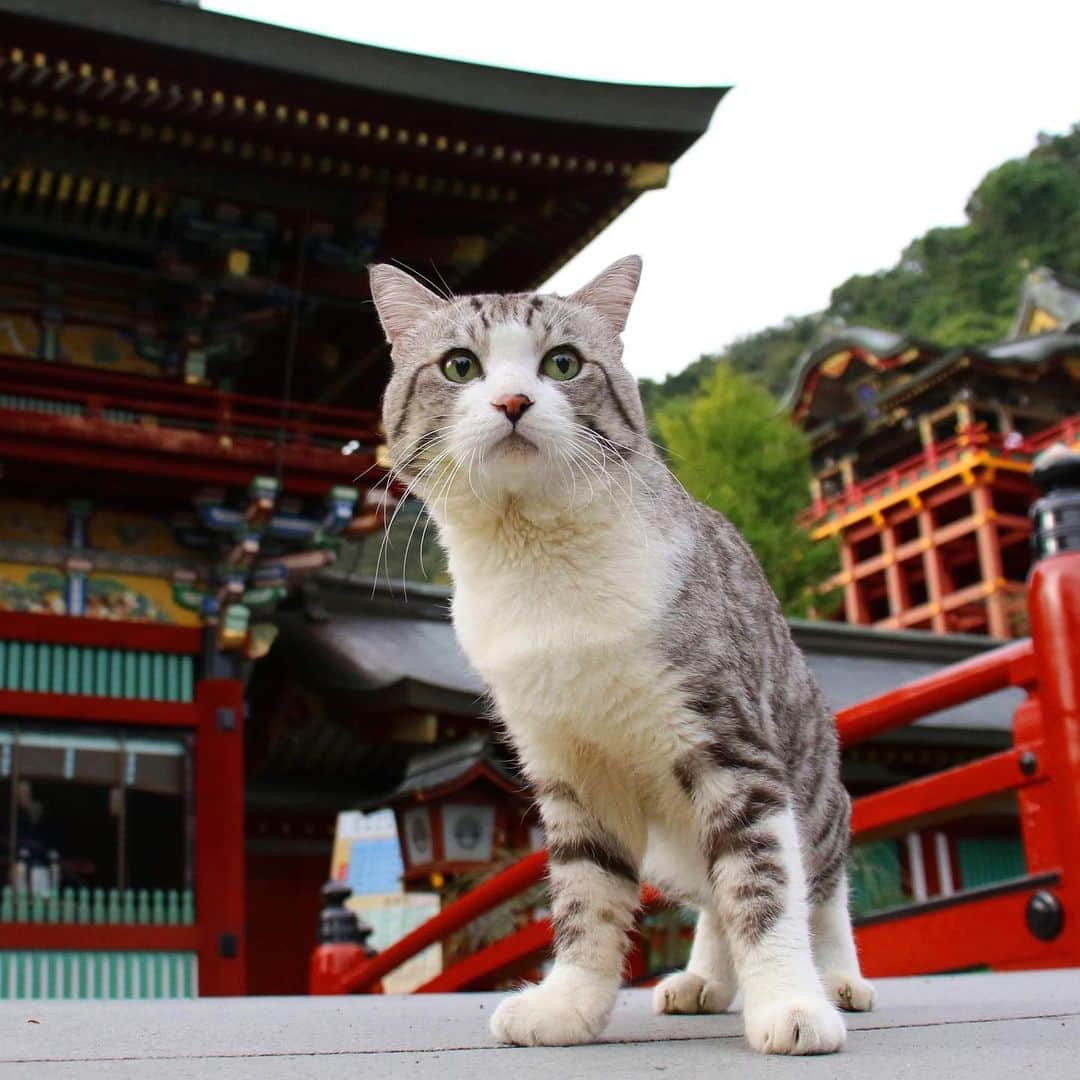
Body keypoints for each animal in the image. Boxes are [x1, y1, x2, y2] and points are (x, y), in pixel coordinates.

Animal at [371, 259, 876, 1054]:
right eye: (458, 366)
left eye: (562, 363)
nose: (513, 400)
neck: (541, 565)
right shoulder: (569, 766)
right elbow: (589, 894)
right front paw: (568, 1005)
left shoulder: (730, 742)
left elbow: (762, 883)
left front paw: (791, 1006)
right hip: (677, 845)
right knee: (713, 893)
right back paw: (704, 981)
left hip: (813, 788)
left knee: (815, 887)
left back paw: (838, 979)